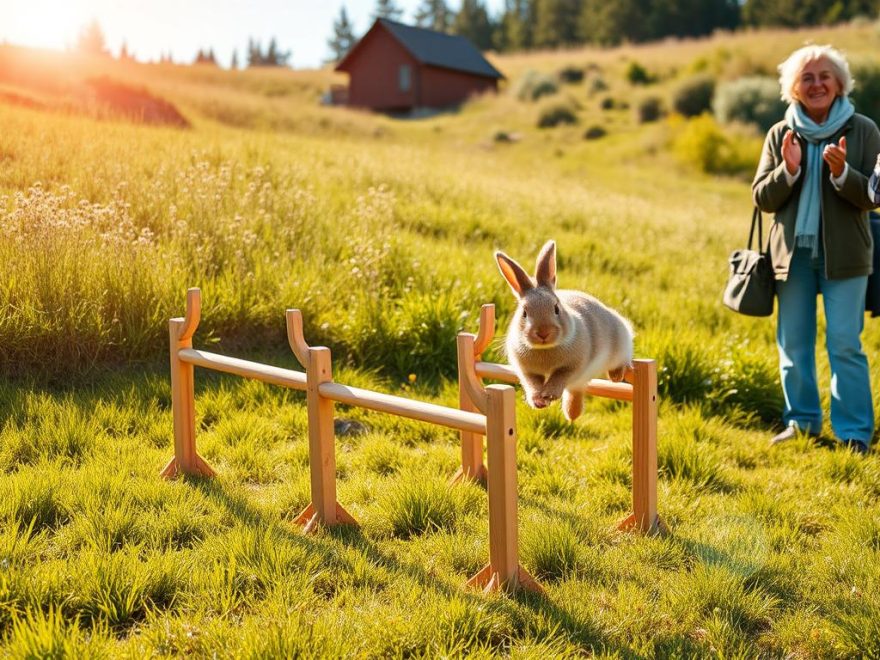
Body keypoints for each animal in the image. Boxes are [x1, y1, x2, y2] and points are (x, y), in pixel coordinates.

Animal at [496, 240, 632, 420]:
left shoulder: (572, 367)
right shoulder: (527, 371)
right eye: (524, 312)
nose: (543, 332)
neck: (545, 349)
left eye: (556, 308)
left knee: (624, 360)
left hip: (621, 343)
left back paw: (615, 376)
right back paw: (572, 415)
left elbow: (559, 377)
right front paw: (538, 401)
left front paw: (548, 395)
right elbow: (532, 384)